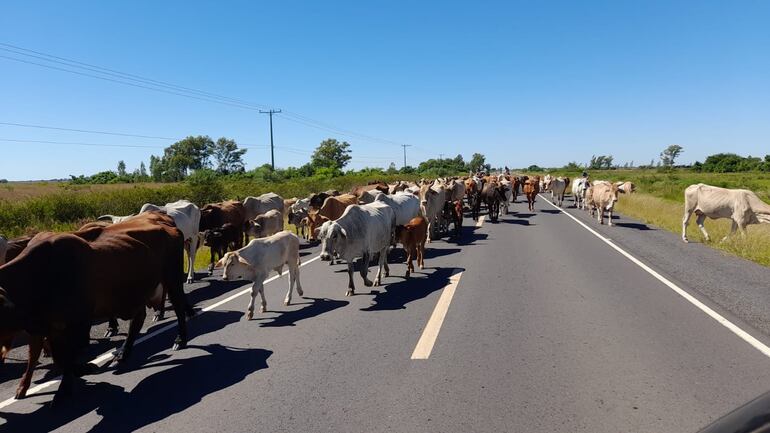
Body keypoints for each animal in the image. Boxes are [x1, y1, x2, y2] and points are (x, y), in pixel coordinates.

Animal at [0, 213, 191, 402]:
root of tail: (163, 220)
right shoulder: (50, 329)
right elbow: (59, 358)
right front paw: (75, 378)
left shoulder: (78, 324)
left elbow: (67, 358)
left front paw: (72, 381)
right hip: (136, 292)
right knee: (137, 320)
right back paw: (123, 354)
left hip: (172, 278)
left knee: (179, 306)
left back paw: (180, 340)